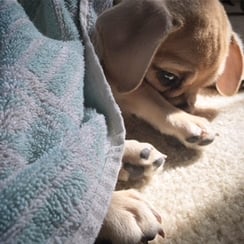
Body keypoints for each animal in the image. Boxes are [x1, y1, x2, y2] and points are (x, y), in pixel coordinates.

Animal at [93, 0, 242, 243]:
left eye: (205, 85)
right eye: (167, 77)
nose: (186, 107)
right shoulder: (116, 76)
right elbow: (146, 93)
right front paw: (187, 120)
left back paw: (133, 158)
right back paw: (120, 207)